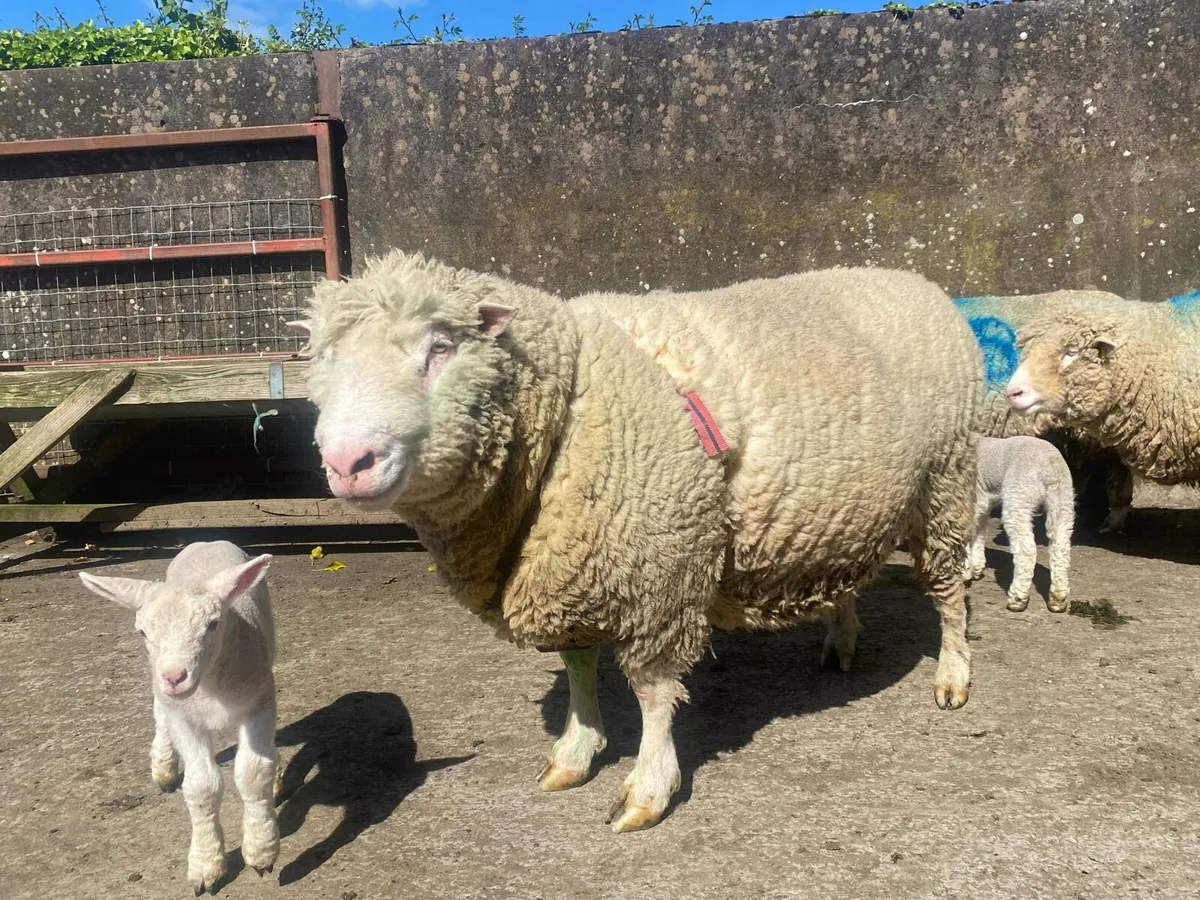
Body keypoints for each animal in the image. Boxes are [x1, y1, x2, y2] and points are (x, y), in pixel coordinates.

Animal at [79, 541, 277, 895]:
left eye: (212, 624)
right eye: (142, 632)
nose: (174, 677)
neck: (211, 688)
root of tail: (208, 541)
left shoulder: (259, 700)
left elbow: (254, 773)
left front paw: (261, 849)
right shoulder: (184, 718)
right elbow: (202, 786)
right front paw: (206, 864)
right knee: (159, 712)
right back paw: (164, 766)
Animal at [295, 250, 982, 833]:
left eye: (440, 348)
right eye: (325, 359)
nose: (347, 462)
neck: (570, 405)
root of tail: (917, 281)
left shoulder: (660, 575)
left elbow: (653, 693)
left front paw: (647, 789)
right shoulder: (571, 571)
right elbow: (578, 668)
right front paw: (575, 750)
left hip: (945, 482)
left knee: (949, 594)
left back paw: (952, 677)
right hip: (842, 513)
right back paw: (841, 640)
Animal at [963, 436, 1076, 613]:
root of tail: (1049, 465)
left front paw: (966, 572)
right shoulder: (982, 502)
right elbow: (978, 534)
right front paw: (975, 568)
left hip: (1019, 495)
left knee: (1026, 550)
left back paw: (1017, 599)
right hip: (1063, 498)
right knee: (1060, 546)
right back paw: (1058, 600)